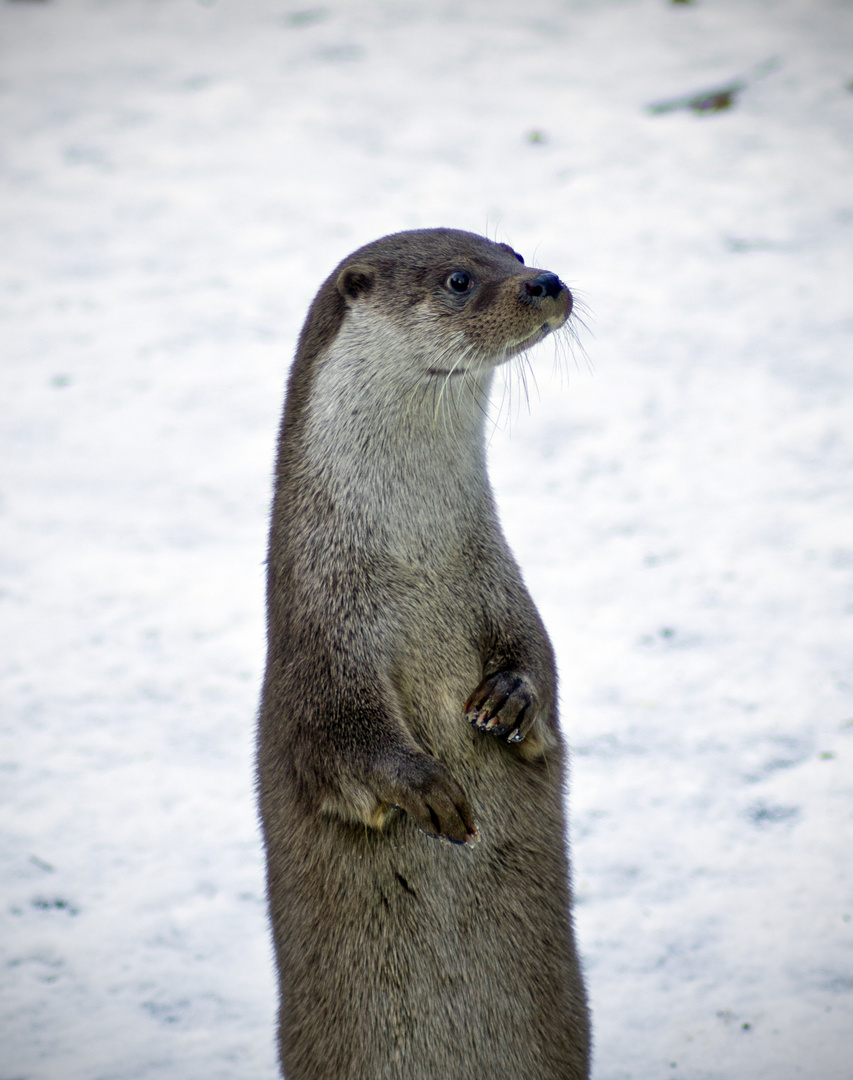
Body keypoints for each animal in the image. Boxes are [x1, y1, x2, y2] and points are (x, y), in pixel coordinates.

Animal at [256, 223, 591, 1075]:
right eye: (458, 279)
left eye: (512, 250)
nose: (544, 281)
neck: (414, 564)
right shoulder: (318, 639)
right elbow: (336, 741)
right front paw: (427, 787)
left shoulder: (500, 584)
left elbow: (540, 661)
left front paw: (510, 699)